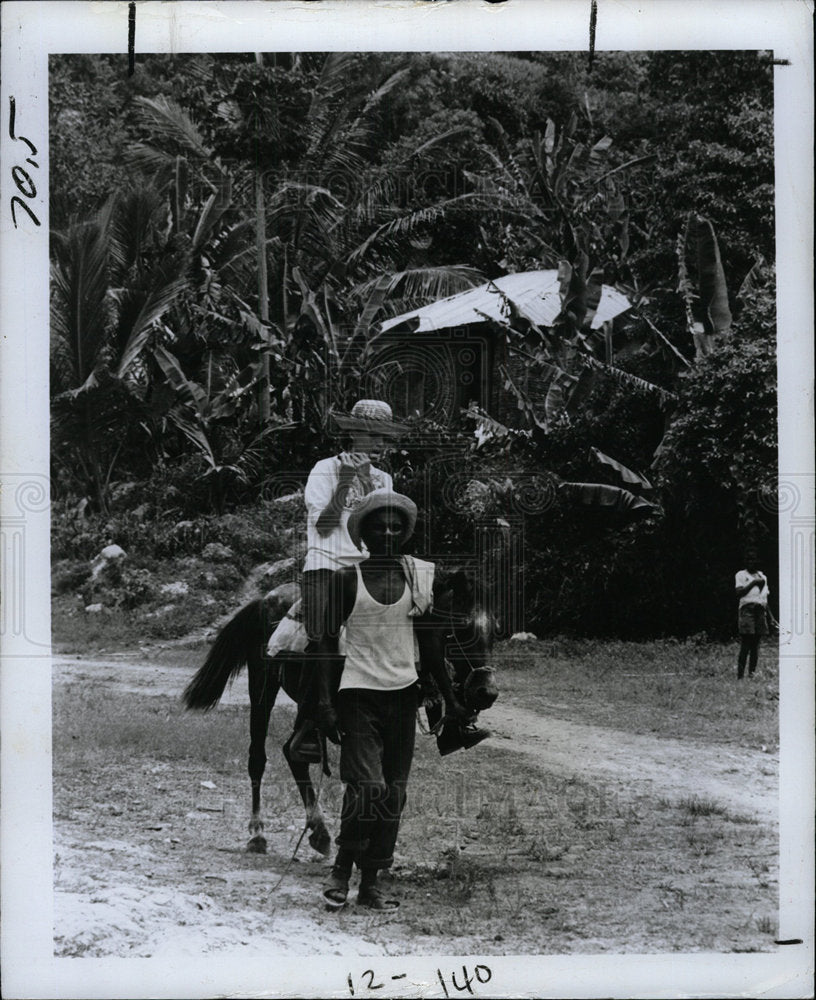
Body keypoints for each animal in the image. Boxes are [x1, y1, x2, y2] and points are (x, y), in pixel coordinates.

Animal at [183, 568, 498, 856]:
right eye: (462, 628)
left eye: (494, 631)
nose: (487, 692)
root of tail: (265, 599)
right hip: (263, 686)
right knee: (259, 757)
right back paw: (259, 833)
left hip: (306, 705)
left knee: (293, 753)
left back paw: (319, 831)